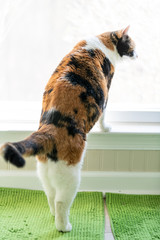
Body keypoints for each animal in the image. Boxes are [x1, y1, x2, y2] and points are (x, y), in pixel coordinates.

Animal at [0, 25, 137, 232]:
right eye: (132, 45)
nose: (137, 54)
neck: (100, 42)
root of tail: (49, 127)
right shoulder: (106, 93)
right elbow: (105, 114)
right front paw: (106, 128)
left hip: (45, 170)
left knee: (49, 194)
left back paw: (53, 214)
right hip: (71, 174)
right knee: (60, 202)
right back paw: (64, 226)